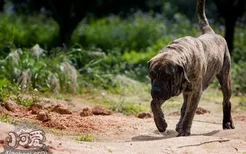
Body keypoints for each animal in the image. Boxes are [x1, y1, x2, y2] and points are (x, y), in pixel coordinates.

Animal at [148, 0, 234, 136]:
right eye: (151, 75)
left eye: (167, 76)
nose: (155, 91)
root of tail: (212, 33)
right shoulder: (168, 91)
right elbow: (154, 103)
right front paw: (160, 123)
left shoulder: (195, 91)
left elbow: (190, 111)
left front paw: (184, 130)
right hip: (186, 91)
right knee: (183, 106)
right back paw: (178, 124)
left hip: (225, 78)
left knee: (226, 101)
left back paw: (227, 123)